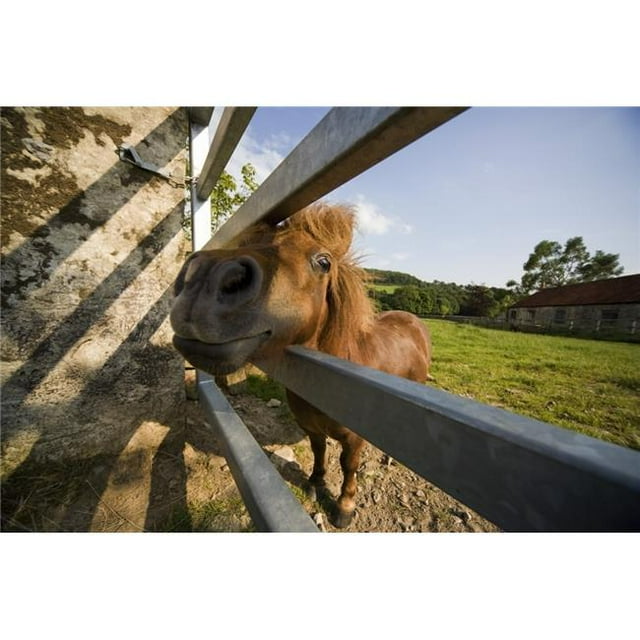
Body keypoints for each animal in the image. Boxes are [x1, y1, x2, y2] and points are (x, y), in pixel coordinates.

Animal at [170, 202, 432, 528]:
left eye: (324, 262)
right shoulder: (311, 427)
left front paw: (344, 507)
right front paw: (315, 482)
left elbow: (349, 466)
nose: (205, 276)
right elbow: (319, 452)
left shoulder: (354, 439)